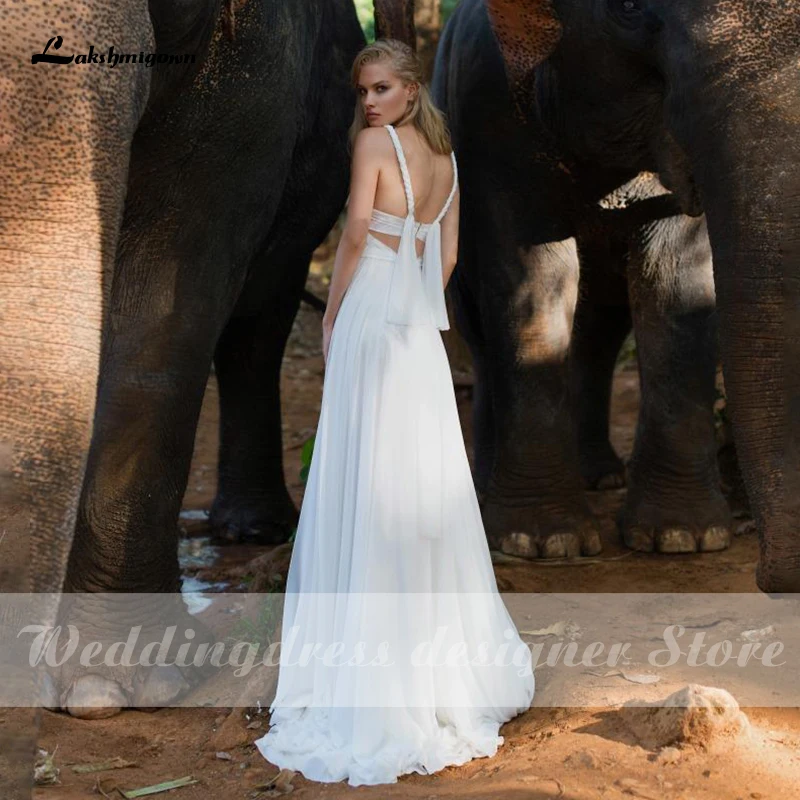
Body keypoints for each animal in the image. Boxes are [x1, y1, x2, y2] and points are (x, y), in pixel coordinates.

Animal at [422, 0, 796, 588]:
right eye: (630, 9)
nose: (769, 577)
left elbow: (675, 278)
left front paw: (683, 537)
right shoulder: (490, 111)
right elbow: (530, 275)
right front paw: (540, 542)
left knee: (599, 328)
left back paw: (600, 476)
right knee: (481, 331)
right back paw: (484, 491)